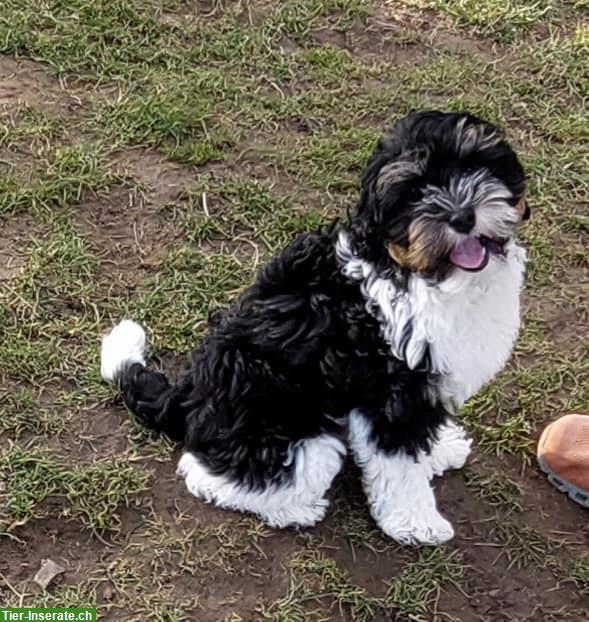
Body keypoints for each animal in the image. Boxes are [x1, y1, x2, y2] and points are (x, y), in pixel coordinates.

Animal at [101, 112, 528, 544]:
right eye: (413, 192)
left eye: (472, 165)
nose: (462, 218)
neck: (420, 270)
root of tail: (189, 395)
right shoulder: (392, 394)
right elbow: (400, 461)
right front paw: (415, 522)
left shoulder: (429, 383)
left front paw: (439, 450)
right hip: (296, 435)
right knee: (208, 472)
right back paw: (293, 508)